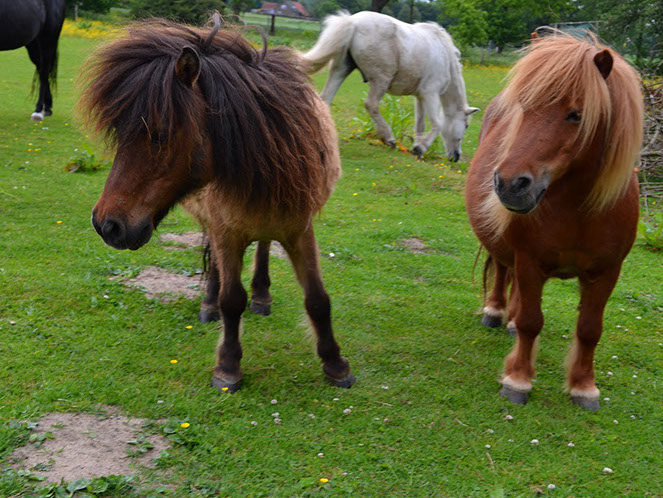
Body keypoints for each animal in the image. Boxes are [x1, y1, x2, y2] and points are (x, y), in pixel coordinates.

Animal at [79, 16, 356, 392]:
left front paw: (335, 364)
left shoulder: (300, 230)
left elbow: (317, 298)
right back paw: (210, 304)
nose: (107, 225)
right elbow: (231, 299)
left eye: (161, 134)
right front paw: (227, 366)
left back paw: (262, 295)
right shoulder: (227, 233)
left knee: (263, 247)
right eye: (120, 134)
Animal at [301, 11, 479, 161]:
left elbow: (420, 124)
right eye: (466, 125)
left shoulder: (420, 97)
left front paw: (417, 146)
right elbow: (437, 124)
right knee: (371, 105)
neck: (445, 56)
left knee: (325, 99)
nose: (456, 156)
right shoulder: (430, 94)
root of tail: (353, 21)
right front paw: (421, 148)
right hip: (381, 80)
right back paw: (389, 138)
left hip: (341, 70)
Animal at [466, 32, 643, 410]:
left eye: (576, 115)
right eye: (525, 108)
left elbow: (590, 329)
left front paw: (583, 386)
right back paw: (497, 313)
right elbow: (533, 322)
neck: (578, 210)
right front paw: (518, 380)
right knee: (502, 271)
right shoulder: (530, 261)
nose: (509, 183)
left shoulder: (607, 272)